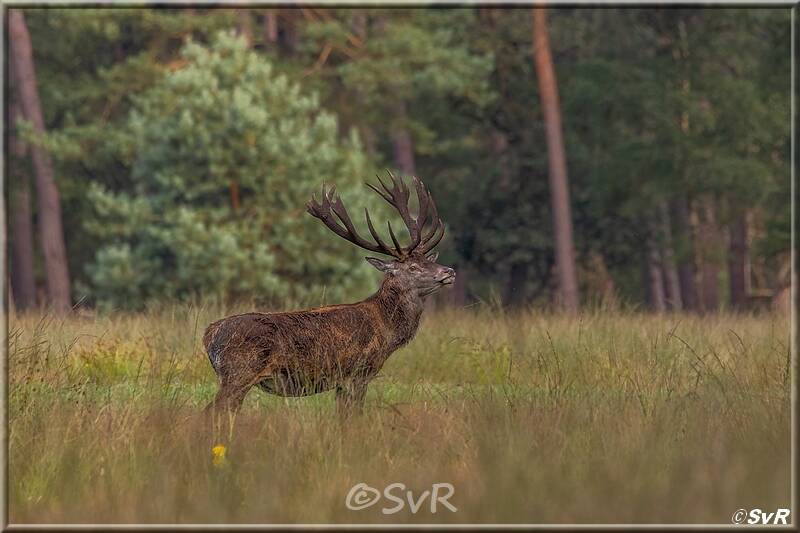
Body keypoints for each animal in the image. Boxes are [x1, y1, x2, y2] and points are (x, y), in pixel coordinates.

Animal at [202, 172, 455, 418]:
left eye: (428, 260)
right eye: (412, 267)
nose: (449, 271)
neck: (387, 330)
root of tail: (208, 335)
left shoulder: (343, 382)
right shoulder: (358, 372)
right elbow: (353, 416)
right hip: (240, 372)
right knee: (212, 411)